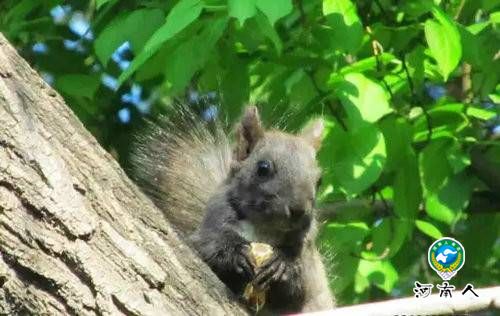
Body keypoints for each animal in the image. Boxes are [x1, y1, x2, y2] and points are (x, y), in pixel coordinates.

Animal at [131, 105, 334, 312]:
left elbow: (298, 285)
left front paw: (282, 265)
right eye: (263, 168)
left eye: (319, 181)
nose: (299, 210)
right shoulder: (210, 227)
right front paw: (235, 254)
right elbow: (209, 248)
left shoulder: (307, 254)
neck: (263, 229)